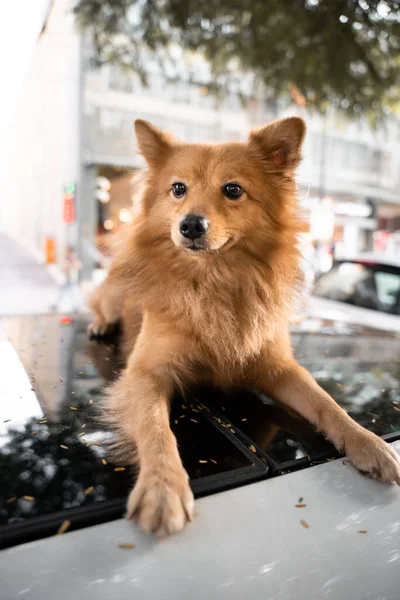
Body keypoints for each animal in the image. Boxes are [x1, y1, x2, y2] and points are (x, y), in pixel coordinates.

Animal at [90, 117, 400, 536]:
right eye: (178, 189)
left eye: (233, 190)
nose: (190, 225)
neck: (214, 282)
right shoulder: (145, 374)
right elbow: (156, 430)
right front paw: (163, 486)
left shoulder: (279, 368)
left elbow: (327, 404)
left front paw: (367, 441)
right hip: (112, 294)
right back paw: (100, 325)